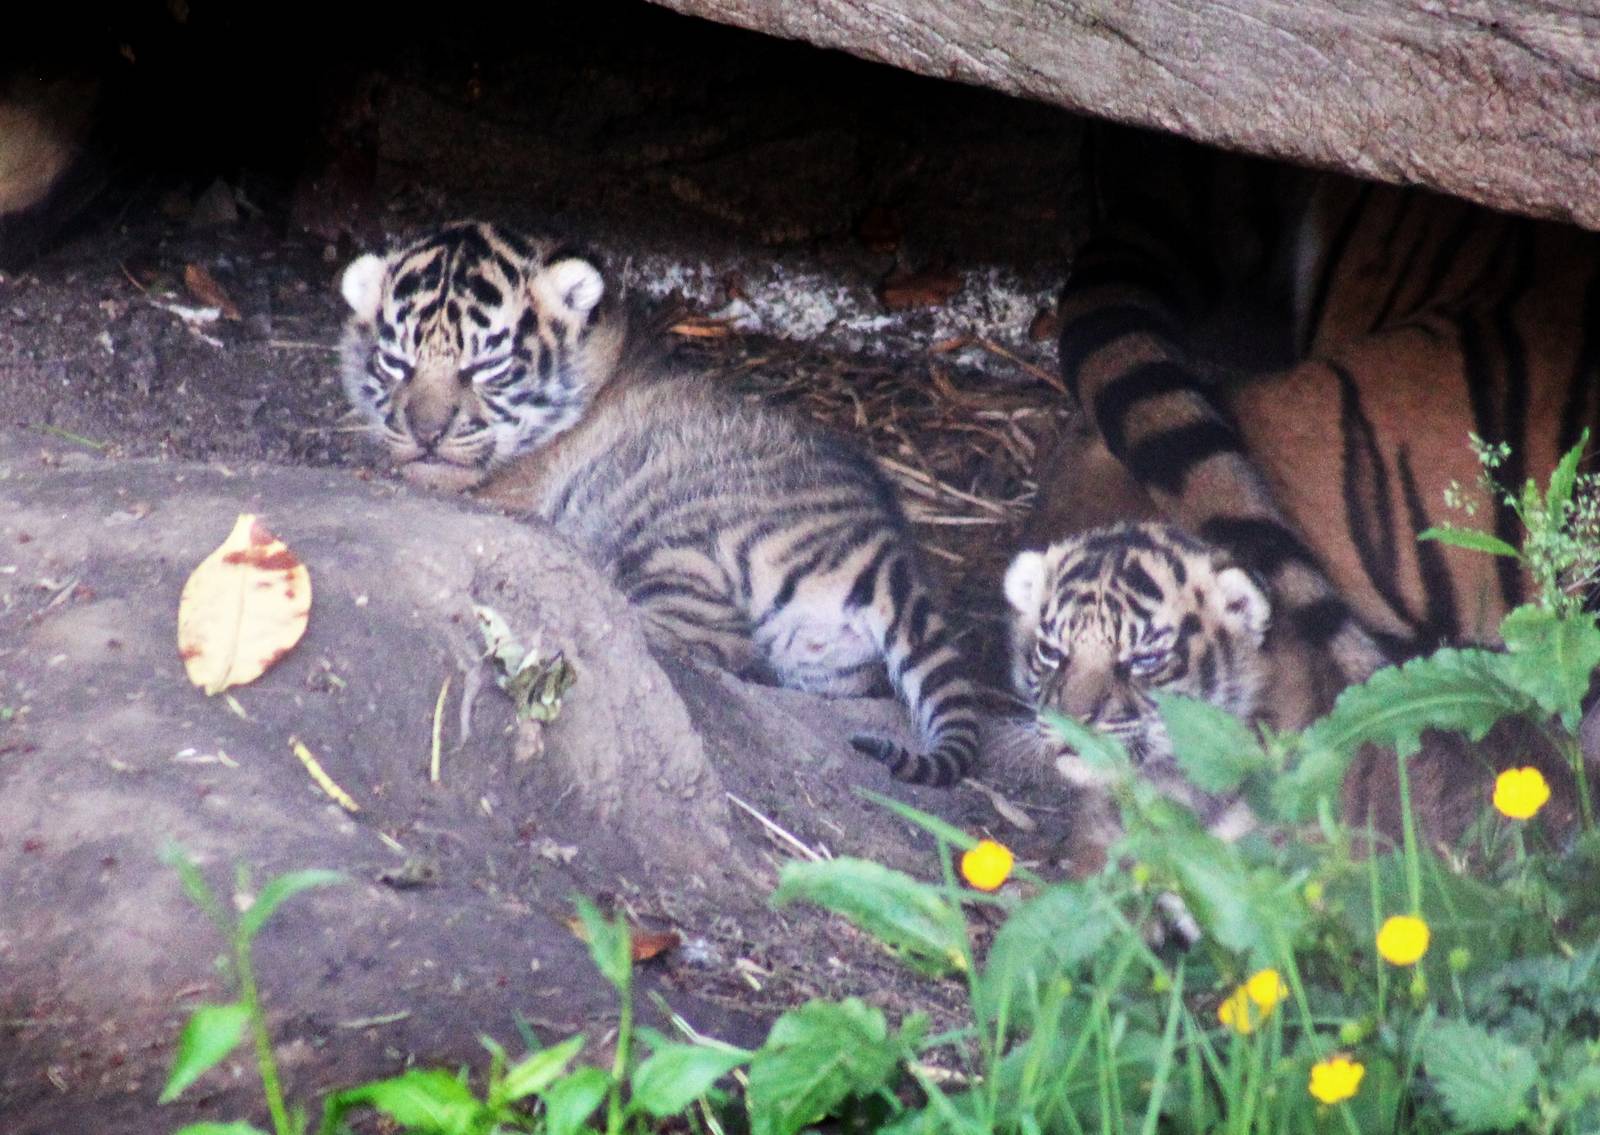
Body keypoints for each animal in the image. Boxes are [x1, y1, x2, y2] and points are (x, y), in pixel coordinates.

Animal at [337, 220, 980, 785]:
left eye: (484, 367)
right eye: (397, 363)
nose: (425, 433)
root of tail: (889, 558)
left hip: (679, 542)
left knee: (701, 642)